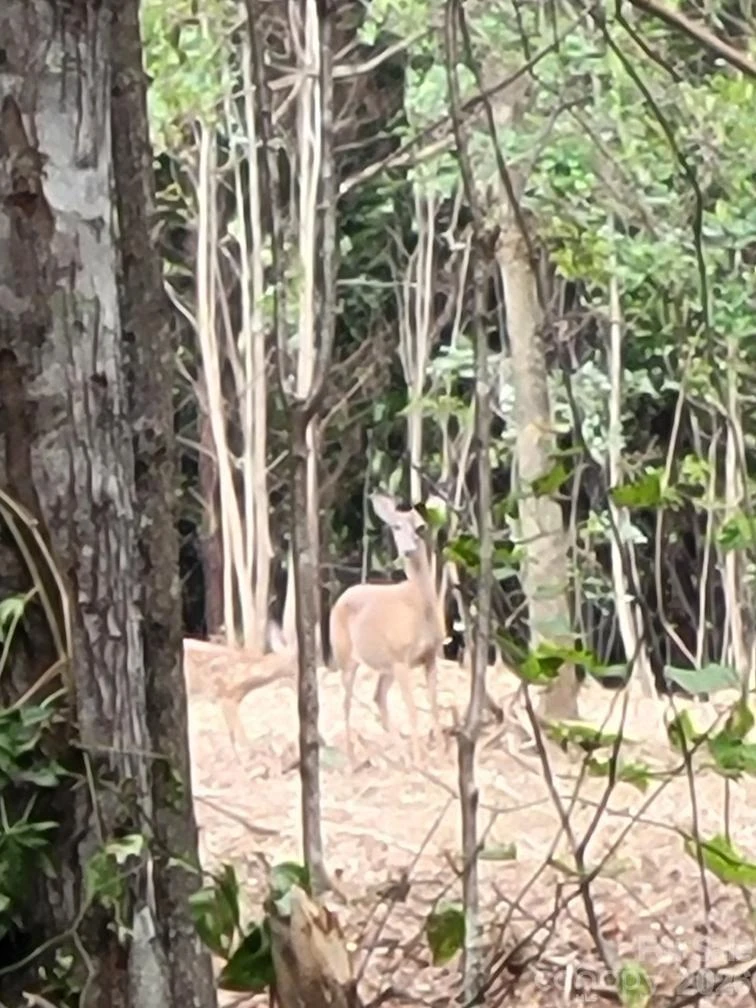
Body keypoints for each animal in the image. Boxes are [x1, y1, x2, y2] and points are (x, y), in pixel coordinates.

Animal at [328, 492, 445, 766]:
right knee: (345, 702)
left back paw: (400, 754)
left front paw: (443, 756)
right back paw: (352, 760)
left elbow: (434, 705)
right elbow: (412, 709)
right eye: (396, 527)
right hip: (344, 655)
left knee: (378, 697)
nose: (408, 549)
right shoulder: (402, 657)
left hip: (385, 665)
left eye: (421, 527)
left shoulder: (430, 655)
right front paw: (420, 760)